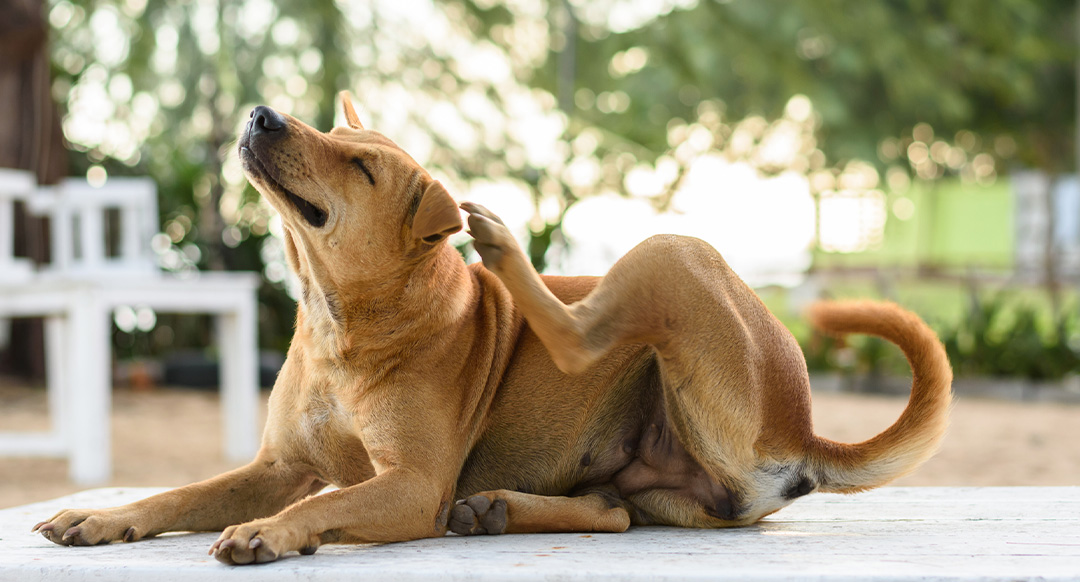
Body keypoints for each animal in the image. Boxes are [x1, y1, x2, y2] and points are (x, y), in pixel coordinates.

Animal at [29, 92, 950, 565]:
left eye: (359, 164)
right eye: (335, 132)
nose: (262, 115)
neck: (343, 324)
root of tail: (801, 424)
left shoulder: (411, 485)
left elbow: (323, 504)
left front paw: (269, 533)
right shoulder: (276, 466)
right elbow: (178, 495)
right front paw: (105, 517)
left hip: (672, 254)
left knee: (582, 334)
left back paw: (504, 250)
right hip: (657, 484)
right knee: (612, 512)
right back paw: (501, 509)